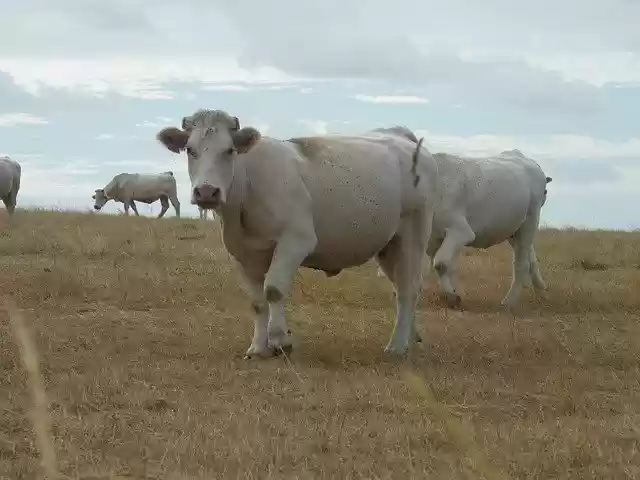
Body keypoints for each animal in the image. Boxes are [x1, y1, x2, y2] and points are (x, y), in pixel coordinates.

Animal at [155, 109, 440, 359]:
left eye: (229, 150)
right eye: (190, 150)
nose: (206, 192)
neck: (247, 186)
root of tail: (403, 139)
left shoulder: (296, 241)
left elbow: (273, 290)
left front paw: (280, 341)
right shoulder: (243, 253)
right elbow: (257, 301)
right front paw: (258, 347)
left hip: (413, 234)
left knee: (408, 287)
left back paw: (397, 345)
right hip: (388, 245)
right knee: (400, 288)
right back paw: (410, 337)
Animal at [379, 138, 552, 309]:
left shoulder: (461, 231)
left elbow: (440, 263)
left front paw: (452, 296)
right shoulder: (434, 239)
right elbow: (444, 266)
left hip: (530, 221)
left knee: (522, 263)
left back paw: (509, 301)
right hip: (513, 229)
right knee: (530, 257)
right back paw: (541, 291)